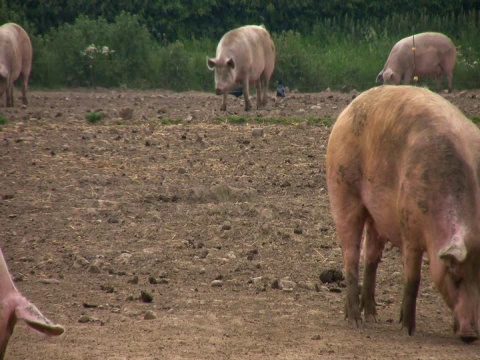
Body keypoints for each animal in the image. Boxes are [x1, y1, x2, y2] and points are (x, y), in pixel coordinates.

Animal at [326, 85, 480, 344]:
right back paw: (355, 321)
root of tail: (349, 107)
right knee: (351, 255)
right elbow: (413, 279)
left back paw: (372, 317)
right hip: (343, 190)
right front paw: (406, 330)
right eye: (455, 277)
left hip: (376, 215)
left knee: (371, 256)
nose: (470, 335)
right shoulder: (409, 225)